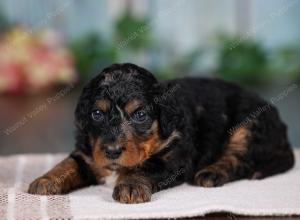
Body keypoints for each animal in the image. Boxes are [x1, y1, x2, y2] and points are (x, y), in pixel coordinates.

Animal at [28, 62, 296, 204]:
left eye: (140, 115)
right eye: (96, 114)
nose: (112, 151)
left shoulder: (173, 158)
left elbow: (145, 167)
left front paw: (130, 186)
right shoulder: (87, 153)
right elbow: (67, 164)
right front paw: (45, 180)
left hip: (247, 126)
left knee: (238, 160)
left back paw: (211, 173)